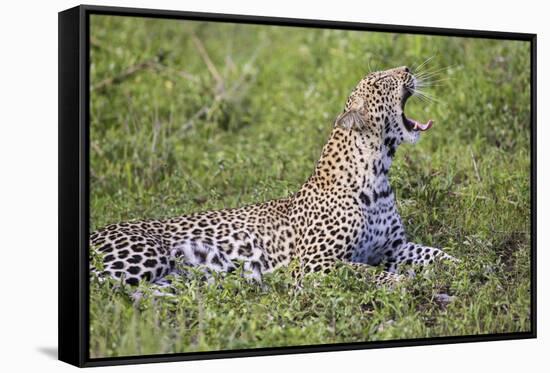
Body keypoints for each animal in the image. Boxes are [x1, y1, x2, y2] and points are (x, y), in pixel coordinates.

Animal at [92, 66, 460, 288]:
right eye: (383, 81)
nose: (408, 69)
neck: (378, 174)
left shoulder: (394, 247)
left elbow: (435, 253)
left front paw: (461, 264)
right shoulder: (314, 263)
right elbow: (363, 270)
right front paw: (401, 282)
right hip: (143, 257)